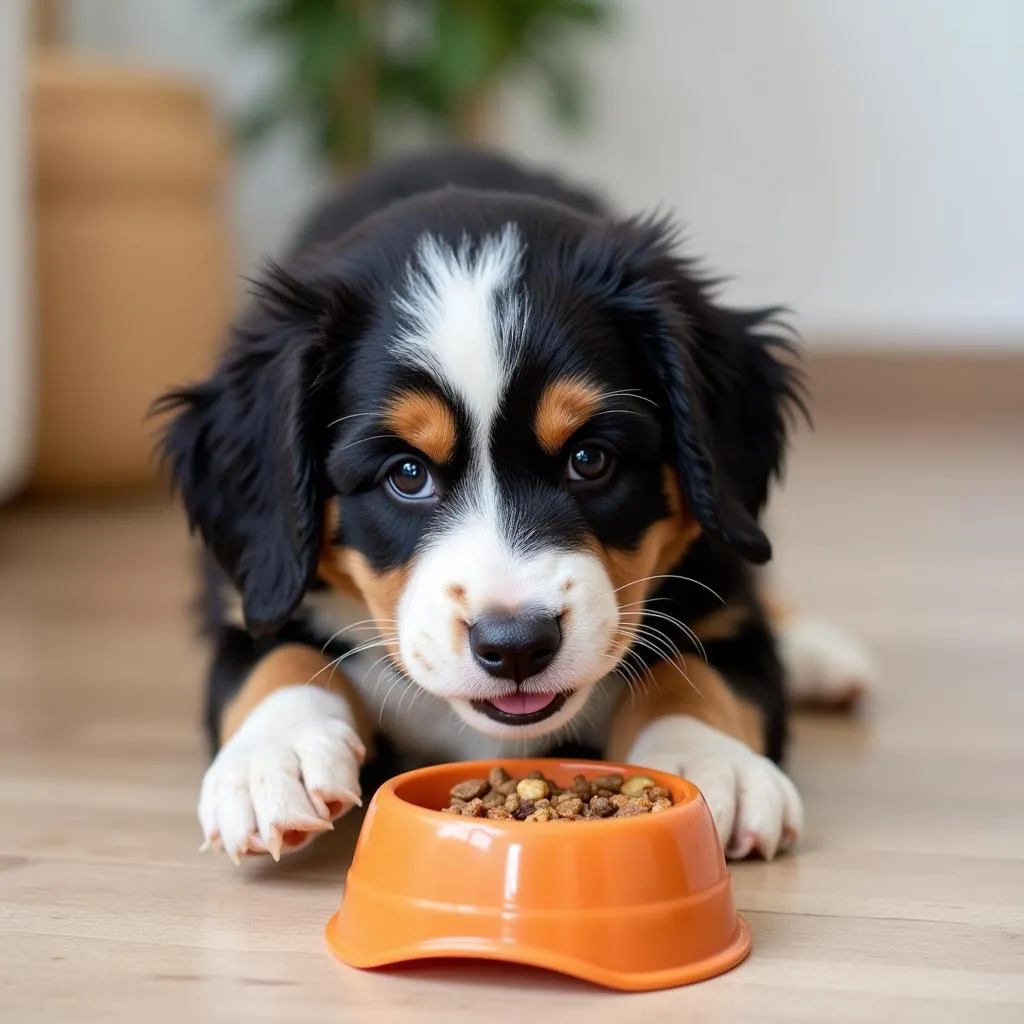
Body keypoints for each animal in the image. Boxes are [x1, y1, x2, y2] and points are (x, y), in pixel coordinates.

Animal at [155, 144, 876, 864]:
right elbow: (276, 657)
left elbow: (699, 669)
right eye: (406, 474)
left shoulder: (718, 575)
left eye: (590, 459)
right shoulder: (251, 584)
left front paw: (709, 759)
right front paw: (274, 758)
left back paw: (819, 655)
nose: (517, 646)